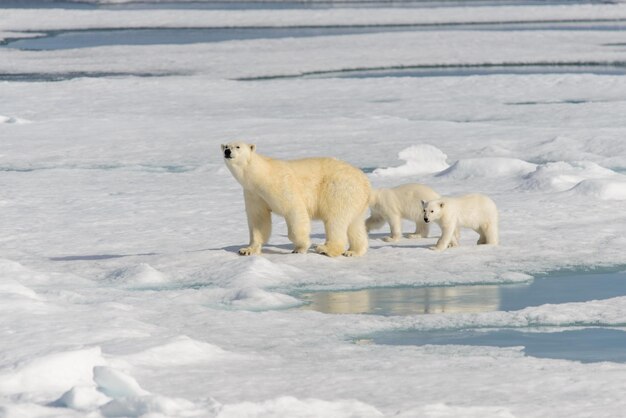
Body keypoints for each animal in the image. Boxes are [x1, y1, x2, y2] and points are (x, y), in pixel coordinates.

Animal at [221, 142, 370, 256]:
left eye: (238, 146)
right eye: (226, 146)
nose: (227, 151)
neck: (260, 176)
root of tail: (364, 181)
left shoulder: (280, 184)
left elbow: (294, 210)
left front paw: (300, 247)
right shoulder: (254, 194)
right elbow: (258, 220)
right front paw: (247, 250)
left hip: (339, 189)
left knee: (335, 219)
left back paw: (326, 249)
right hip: (355, 199)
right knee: (354, 224)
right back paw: (353, 251)